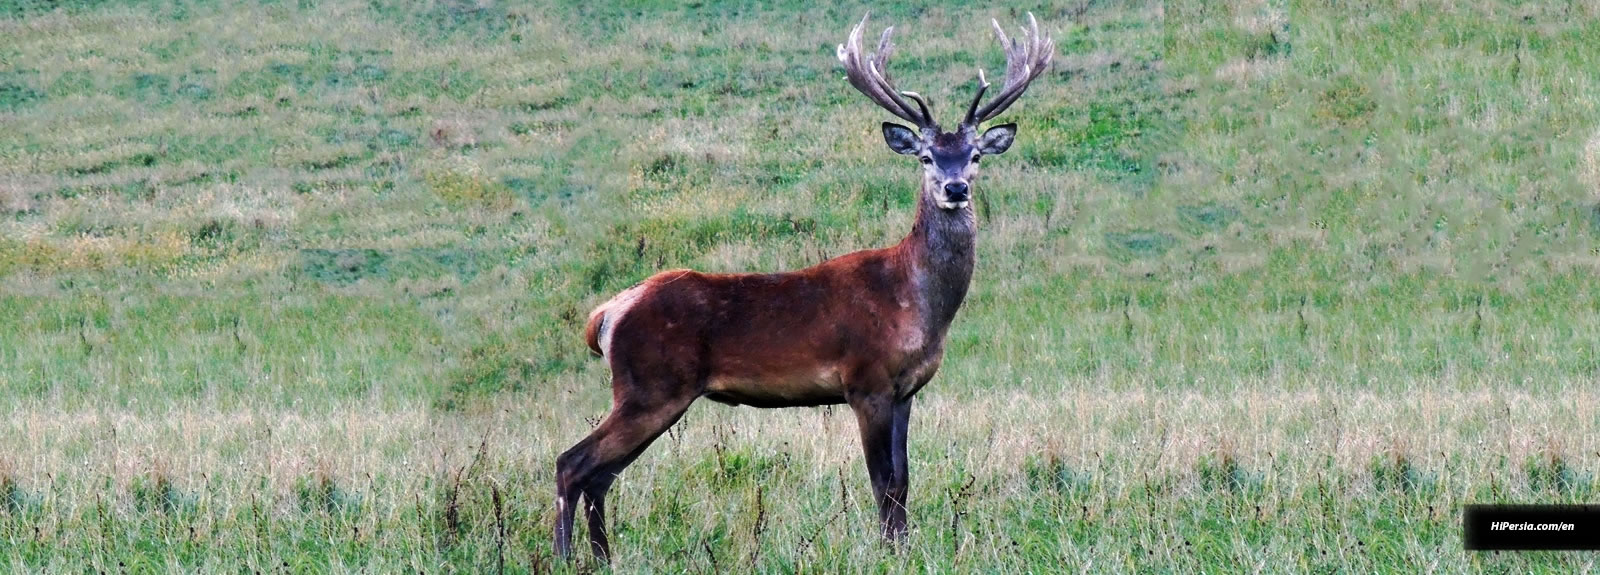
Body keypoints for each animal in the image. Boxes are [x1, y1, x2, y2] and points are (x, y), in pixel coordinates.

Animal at [556, 12, 1056, 563]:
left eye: (975, 155)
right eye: (926, 157)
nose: (955, 188)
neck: (915, 303)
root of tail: (606, 314)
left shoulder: (905, 390)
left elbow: (904, 481)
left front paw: (903, 549)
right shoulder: (864, 379)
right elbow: (883, 481)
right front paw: (886, 553)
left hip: (650, 392)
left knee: (600, 475)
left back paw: (603, 557)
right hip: (650, 385)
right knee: (572, 463)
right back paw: (564, 556)